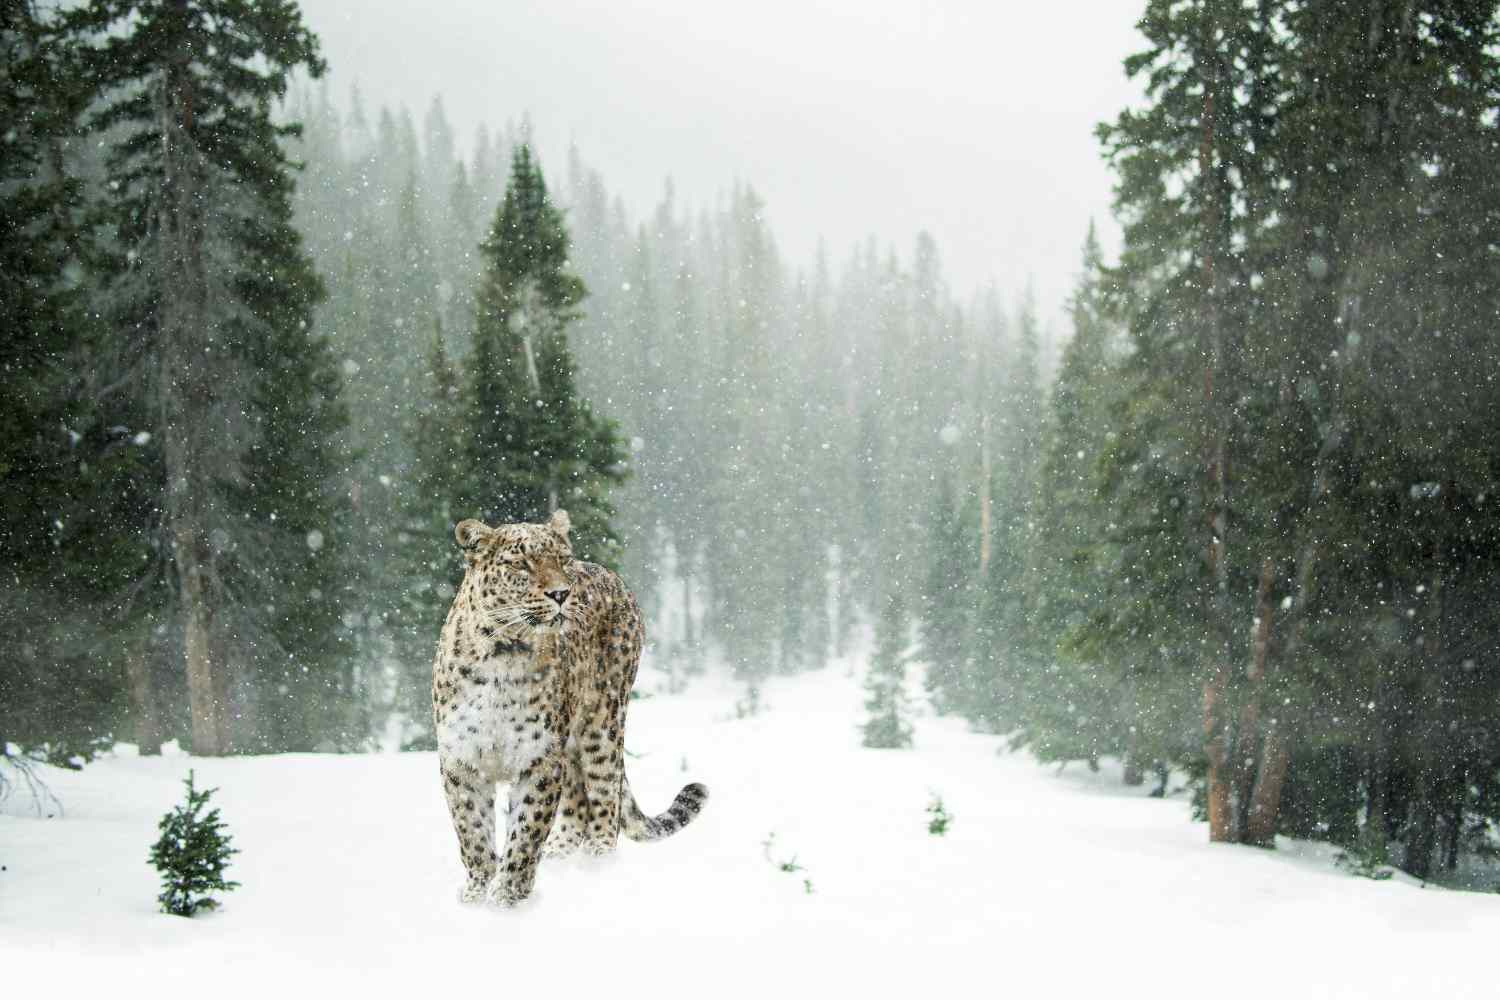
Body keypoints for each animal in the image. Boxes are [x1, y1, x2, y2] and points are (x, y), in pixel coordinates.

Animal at [432, 508, 708, 906]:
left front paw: (507, 897)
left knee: (605, 800)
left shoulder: (540, 759)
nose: (561, 593)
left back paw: (598, 868)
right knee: (578, 805)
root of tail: (612, 576)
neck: (503, 654)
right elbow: (472, 832)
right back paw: (559, 857)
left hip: (603, 725)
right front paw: (477, 893)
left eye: (562, 560)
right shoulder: (462, 760)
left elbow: (525, 833)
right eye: (521, 564)